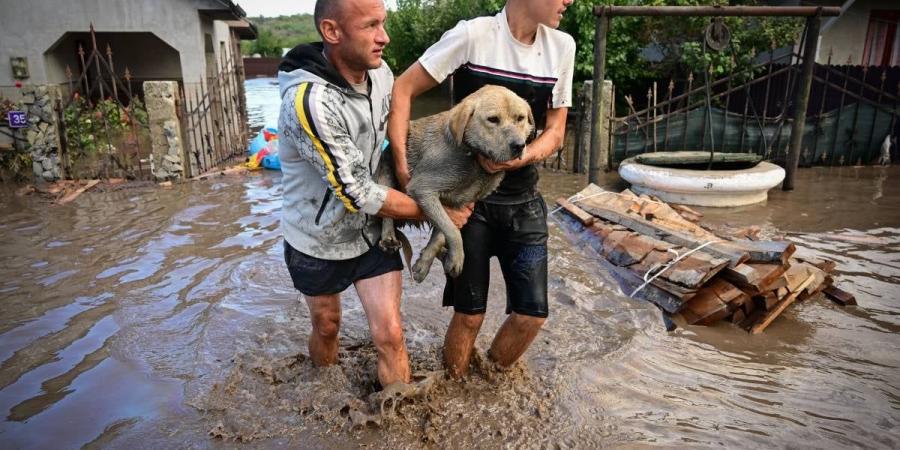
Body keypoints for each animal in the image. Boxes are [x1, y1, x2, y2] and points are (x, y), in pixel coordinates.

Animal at [374, 85, 532, 282]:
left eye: (520, 118)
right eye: (493, 119)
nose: (519, 145)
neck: (473, 158)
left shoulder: (459, 205)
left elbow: (442, 233)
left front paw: (425, 263)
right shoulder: (422, 189)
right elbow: (453, 232)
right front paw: (457, 257)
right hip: (386, 175)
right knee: (386, 214)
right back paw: (388, 238)